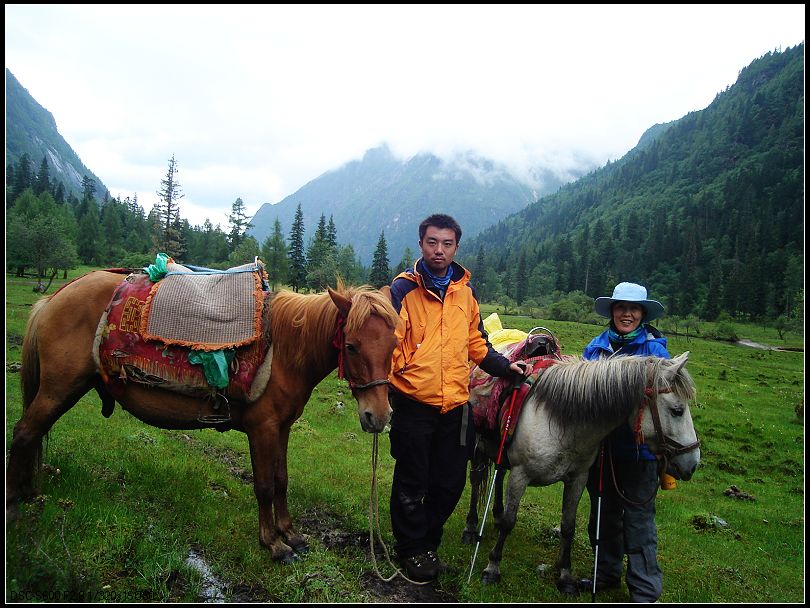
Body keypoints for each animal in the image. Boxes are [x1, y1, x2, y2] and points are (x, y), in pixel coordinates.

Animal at [6, 268, 398, 564]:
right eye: (351, 346)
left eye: (394, 345)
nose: (378, 416)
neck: (286, 350)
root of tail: (55, 297)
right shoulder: (262, 429)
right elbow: (264, 486)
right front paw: (273, 543)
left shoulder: (282, 428)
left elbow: (282, 480)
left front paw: (292, 534)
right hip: (57, 390)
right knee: (23, 433)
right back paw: (14, 502)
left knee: (33, 433)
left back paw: (28, 490)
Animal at [464, 352, 696, 592]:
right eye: (677, 411)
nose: (692, 464)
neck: (560, 421)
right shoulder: (521, 475)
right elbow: (510, 521)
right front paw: (492, 568)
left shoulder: (578, 479)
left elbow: (568, 526)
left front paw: (566, 576)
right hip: (479, 447)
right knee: (476, 481)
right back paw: (471, 528)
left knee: (499, 476)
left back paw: (496, 514)